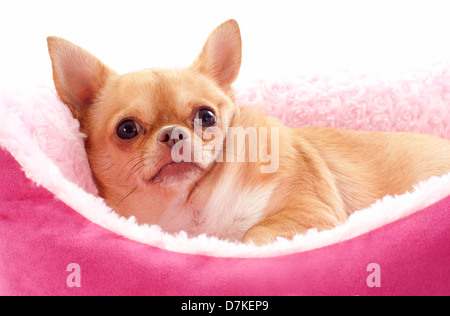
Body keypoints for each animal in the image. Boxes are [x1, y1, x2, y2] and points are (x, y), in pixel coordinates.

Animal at [47, 19, 450, 246]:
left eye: (206, 116)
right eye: (127, 129)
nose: (174, 134)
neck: (191, 208)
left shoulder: (313, 211)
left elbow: (253, 234)